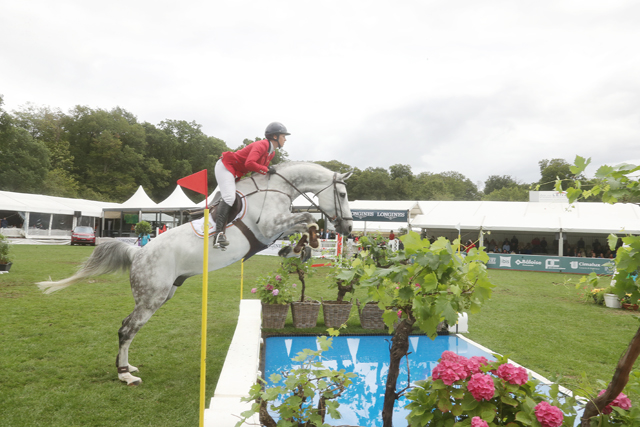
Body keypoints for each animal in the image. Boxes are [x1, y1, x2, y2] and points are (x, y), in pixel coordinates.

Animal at [37, 162, 352, 386]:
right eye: (343, 194)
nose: (347, 228)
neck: (275, 188)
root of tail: (138, 253)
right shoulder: (268, 227)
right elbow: (308, 218)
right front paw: (307, 243)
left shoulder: (276, 228)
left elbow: (302, 226)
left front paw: (298, 249)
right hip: (153, 297)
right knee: (128, 328)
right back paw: (126, 375)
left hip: (162, 294)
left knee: (128, 326)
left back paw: (124, 366)